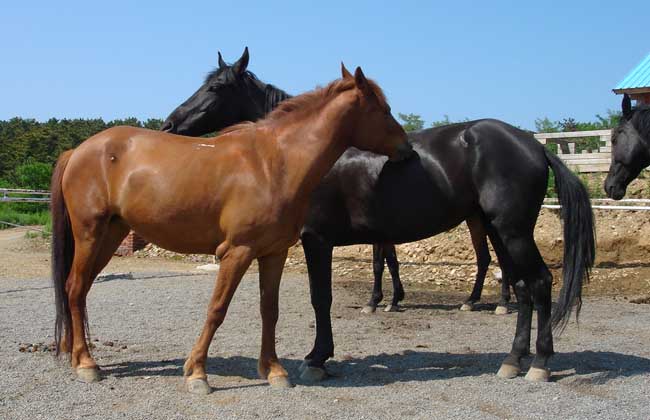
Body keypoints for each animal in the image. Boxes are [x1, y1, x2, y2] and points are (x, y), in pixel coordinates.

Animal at [49, 65, 410, 394]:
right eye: (384, 109)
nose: (407, 148)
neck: (276, 163)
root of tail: (78, 150)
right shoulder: (237, 252)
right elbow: (217, 309)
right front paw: (197, 373)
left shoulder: (273, 253)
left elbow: (269, 310)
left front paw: (274, 370)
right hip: (89, 234)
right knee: (75, 287)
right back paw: (86, 364)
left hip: (110, 235)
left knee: (80, 289)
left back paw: (76, 355)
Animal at [163, 53, 592, 384]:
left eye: (217, 87)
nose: (169, 124)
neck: (298, 153)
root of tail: (533, 144)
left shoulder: (317, 240)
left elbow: (322, 297)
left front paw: (317, 359)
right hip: (497, 229)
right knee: (520, 285)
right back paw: (512, 360)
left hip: (511, 230)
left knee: (539, 282)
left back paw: (539, 363)